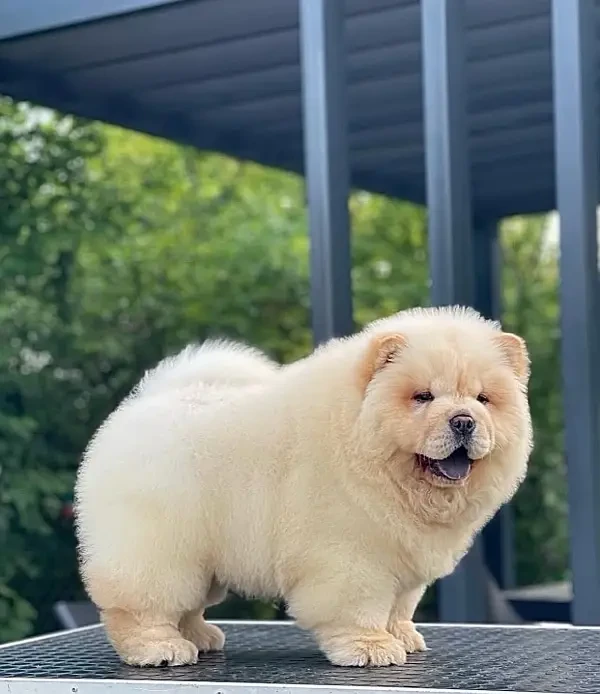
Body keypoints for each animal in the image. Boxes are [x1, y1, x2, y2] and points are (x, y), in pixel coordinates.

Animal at [74, 306, 528, 668]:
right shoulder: (352, 556)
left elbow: (400, 606)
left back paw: (199, 636)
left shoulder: (403, 556)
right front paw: (371, 648)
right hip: (160, 546)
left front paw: (403, 636)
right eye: (423, 397)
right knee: (142, 602)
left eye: (483, 399)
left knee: (187, 603)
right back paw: (161, 647)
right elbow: (360, 607)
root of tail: (141, 403)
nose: (464, 421)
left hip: (201, 556)